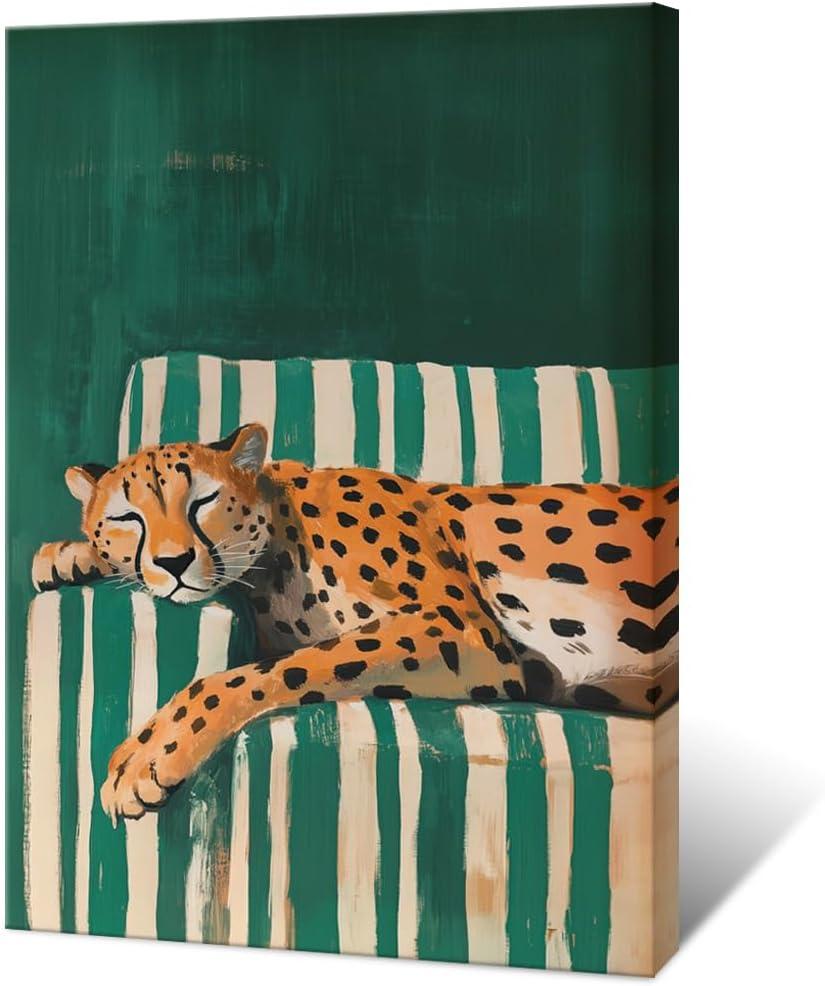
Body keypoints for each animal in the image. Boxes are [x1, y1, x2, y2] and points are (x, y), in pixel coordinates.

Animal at [32, 423, 678, 822]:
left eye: (203, 502)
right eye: (127, 518)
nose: (172, 562)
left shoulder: (463, 631)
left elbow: (266, 672)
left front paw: (145, 757)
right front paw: (72, 554)